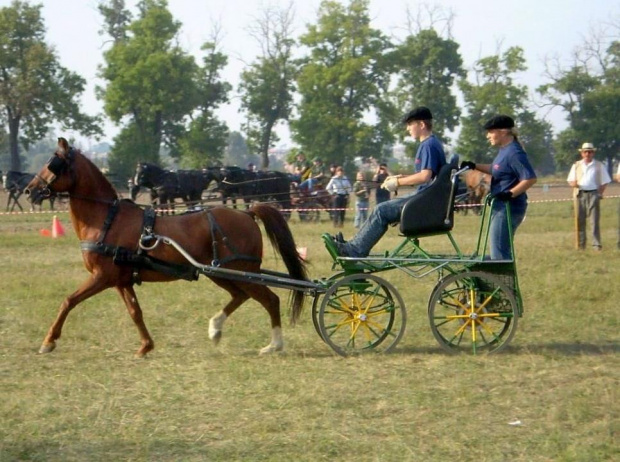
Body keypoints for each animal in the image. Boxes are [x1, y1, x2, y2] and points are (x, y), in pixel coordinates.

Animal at [26, 140, 308, 358]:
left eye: (53, 164)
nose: (30, 191)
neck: (107, 219)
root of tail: (247, 213)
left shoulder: (102, 277)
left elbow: (68, 301)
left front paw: (48, 342)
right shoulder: (121, 281)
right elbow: (135, 312)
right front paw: (145, 346)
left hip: (241, 271)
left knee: (270, 299)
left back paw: (274, 344)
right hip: (220, 273)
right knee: (241, 296)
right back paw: (215, 329)